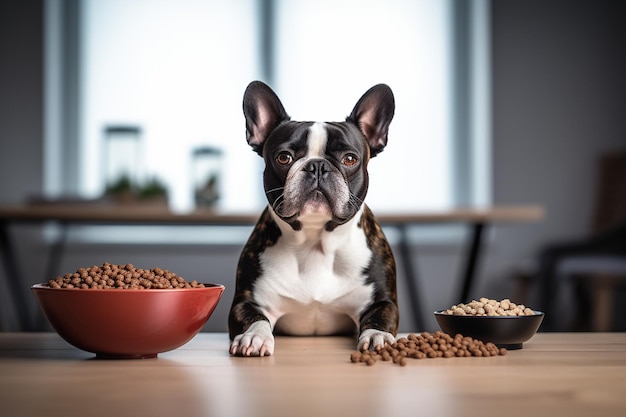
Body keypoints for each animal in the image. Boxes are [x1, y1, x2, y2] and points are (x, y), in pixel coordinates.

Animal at [227, 81, 398, 354]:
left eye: (349, 159)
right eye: (284, 157)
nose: (317, 165)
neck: (315, 241)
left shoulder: (382, 301)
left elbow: (380, 317)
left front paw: (376, 336)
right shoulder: (247, 301)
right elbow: (255, 318)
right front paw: (253, 337)